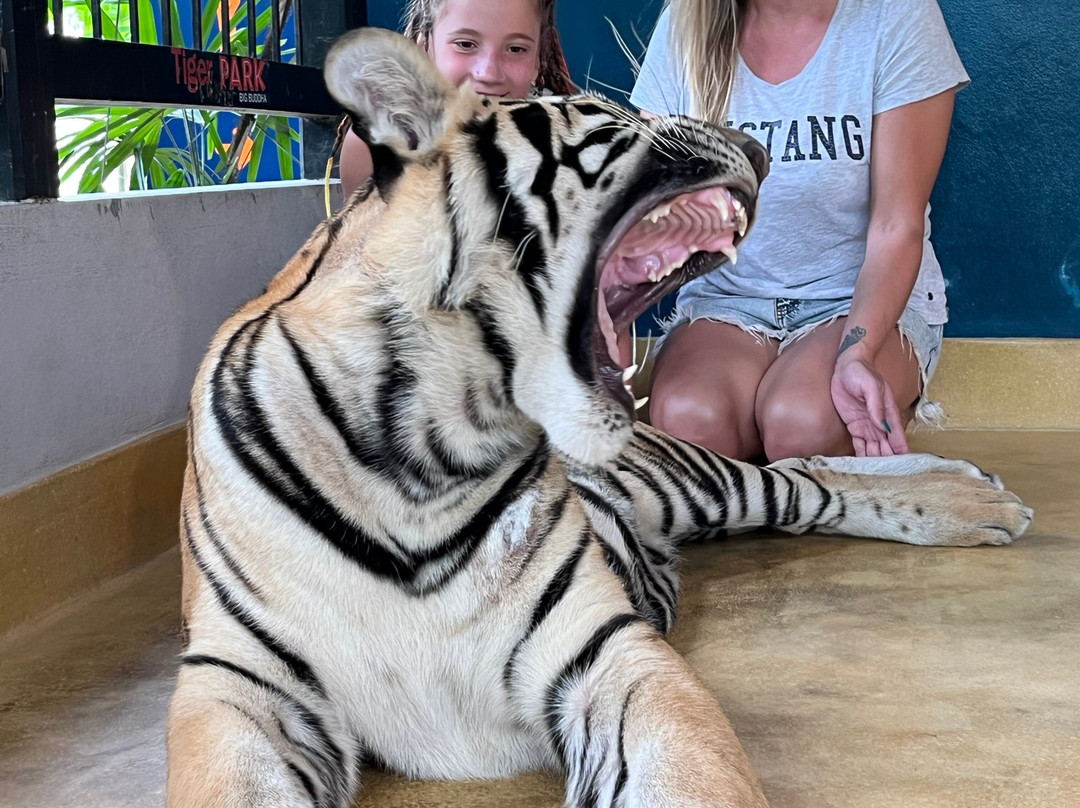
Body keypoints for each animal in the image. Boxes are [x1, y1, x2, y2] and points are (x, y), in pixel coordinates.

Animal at [165, 28, 1033, 808]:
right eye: (601, 110)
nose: (754, 148)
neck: (423, 456)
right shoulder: (238, 684)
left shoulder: (604, 647)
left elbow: (695, 777)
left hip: (694, 478)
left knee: (800, 480)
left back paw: (975, 498)